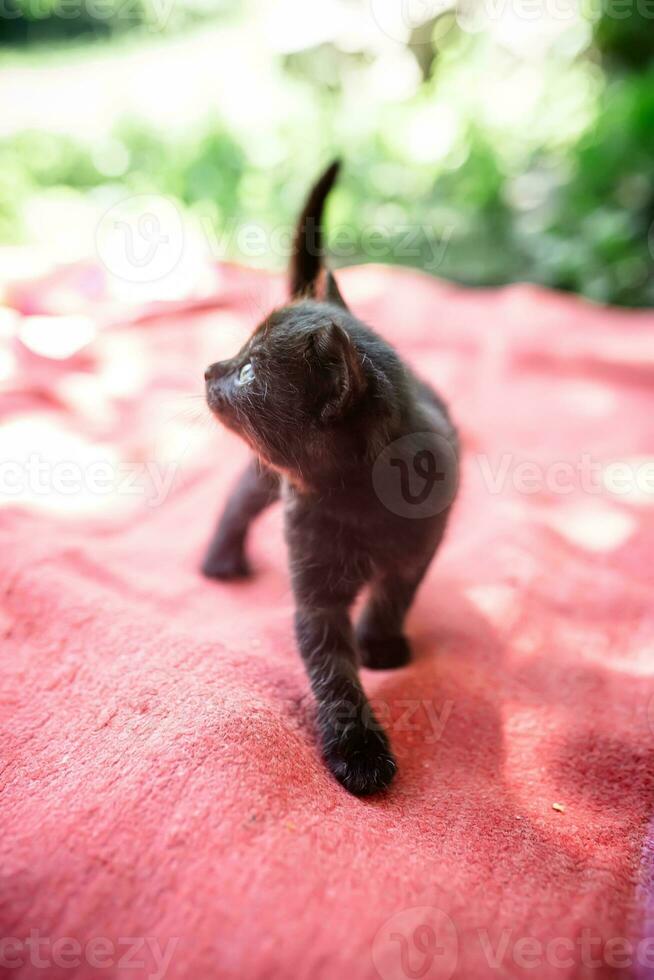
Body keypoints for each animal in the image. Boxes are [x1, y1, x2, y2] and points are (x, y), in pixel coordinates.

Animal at [202, 157, 458, 792]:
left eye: (249, 373)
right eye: (238, 353)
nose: (210, 370)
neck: (360, 501)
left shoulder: (423, 544)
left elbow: (395, 593)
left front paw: (381, 643)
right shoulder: (315, 588)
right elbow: (332, 670)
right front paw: (358, 750)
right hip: (264, 477)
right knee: (238, 502)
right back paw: (220, 560)